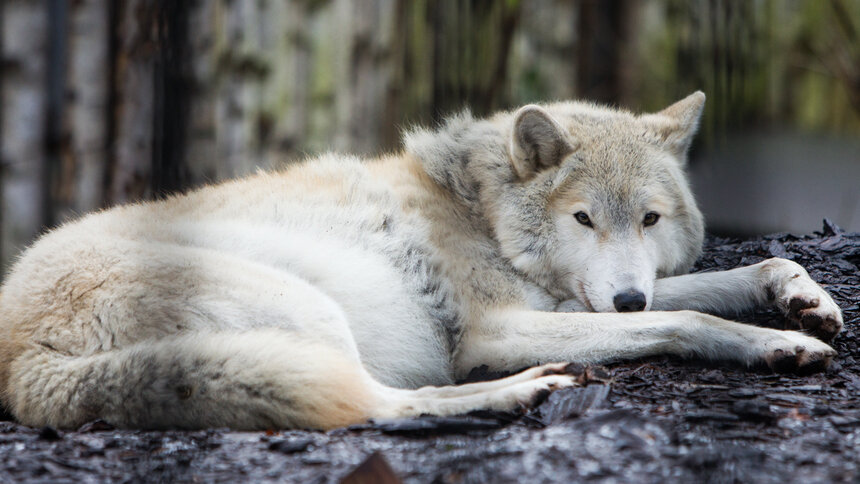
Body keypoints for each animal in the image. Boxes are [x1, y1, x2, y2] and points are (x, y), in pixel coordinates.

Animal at [0, 92, 844, 430]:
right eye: (582, 218)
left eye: (649, 219)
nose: (629, 300)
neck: (478, 208)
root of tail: (17, 359)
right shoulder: (499, 330)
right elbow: (688, 316)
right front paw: (777, 344)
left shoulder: (582, 300)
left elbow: (730, 279)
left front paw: (804, 298)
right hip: (310, 313)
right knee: (376, 406)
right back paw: (517, 393)